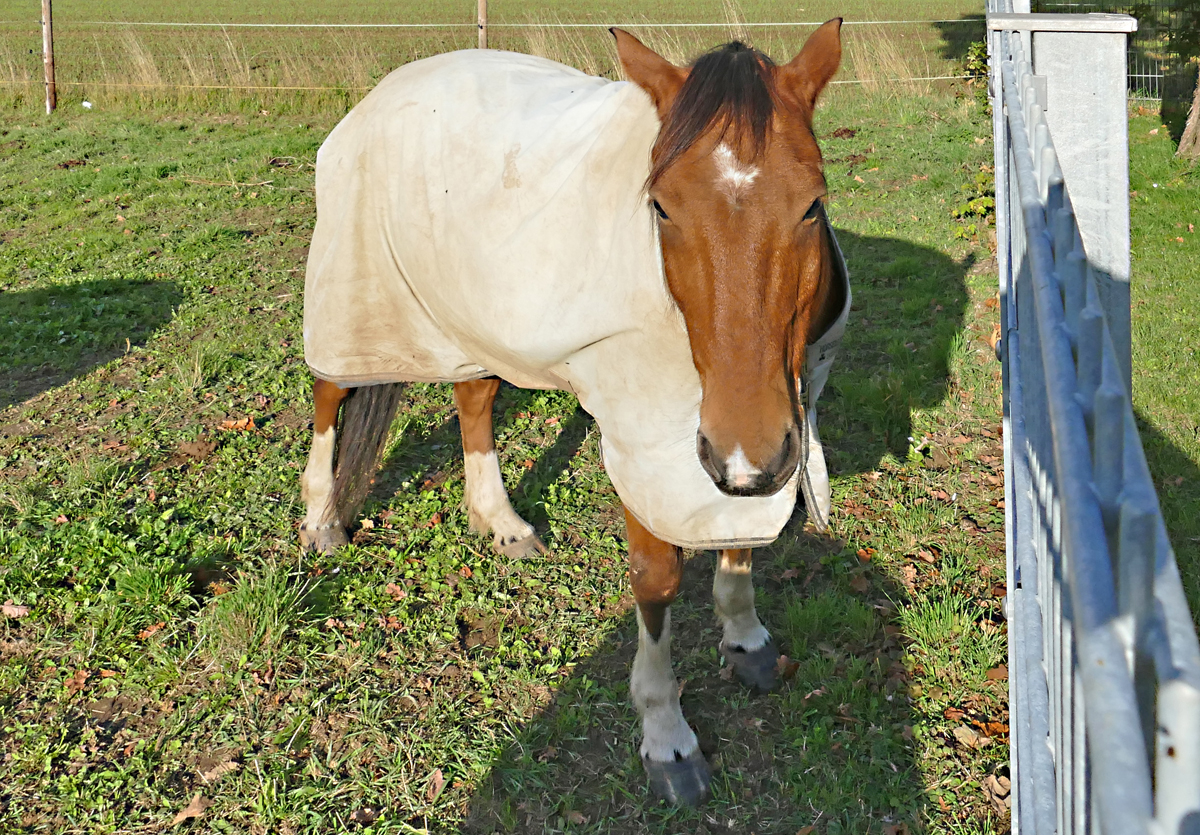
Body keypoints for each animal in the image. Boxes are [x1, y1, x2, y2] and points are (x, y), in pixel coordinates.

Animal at [297, 21, 844, 801]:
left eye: (812, 203)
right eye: (661, 207)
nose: (750, 453)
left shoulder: (745, 439)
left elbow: (736, 534)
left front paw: (747, 640)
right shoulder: (646, 428)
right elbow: (656, 579)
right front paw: (666, 736)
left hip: (474, 317)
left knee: (473, 396)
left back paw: (500, 520)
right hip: (356, 295)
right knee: (330, 392)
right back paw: (320, 519)